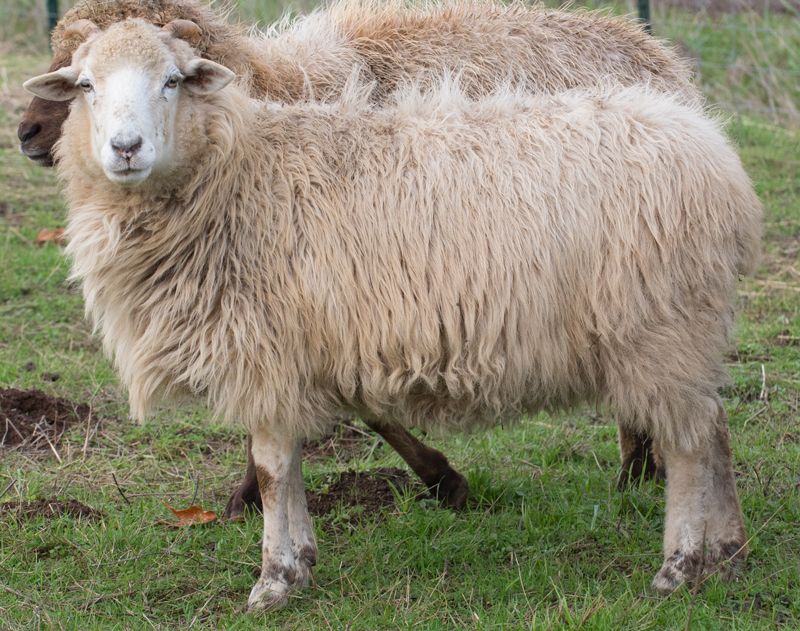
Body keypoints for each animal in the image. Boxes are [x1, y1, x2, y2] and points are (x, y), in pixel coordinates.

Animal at [25, 18, 764, 612]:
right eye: (86, 85)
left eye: (173, 81)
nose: (125, 148)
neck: (237, 171)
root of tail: (714, 152)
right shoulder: (298, 354)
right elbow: (288, 465)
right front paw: (302, 562)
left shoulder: (268, 353)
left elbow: (271, 467)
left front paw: (273, 580)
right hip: (680, 331)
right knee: (715, 427)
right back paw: (728, 555)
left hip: (657, 327)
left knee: (690, 444)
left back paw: (679, 567)